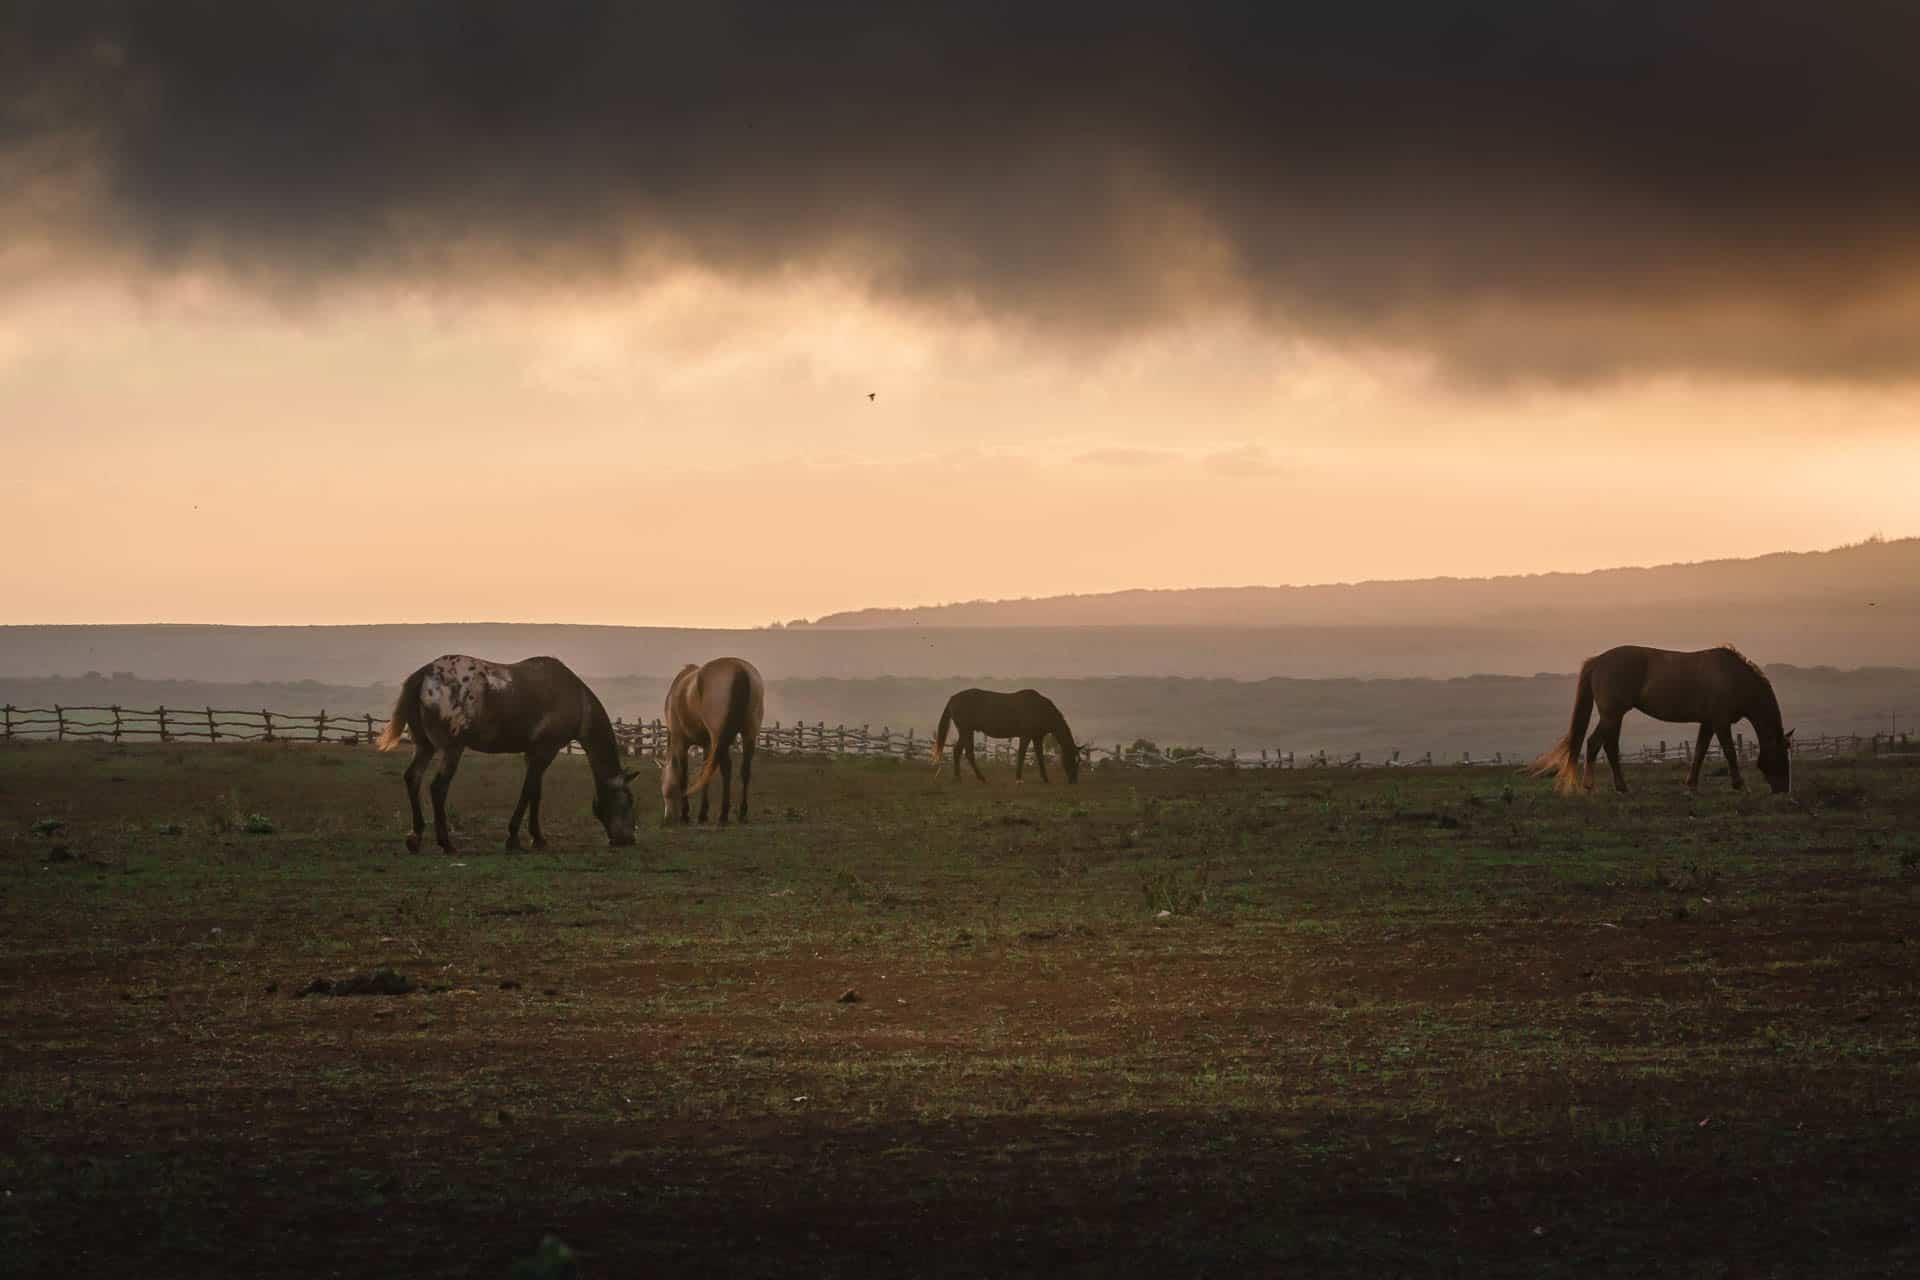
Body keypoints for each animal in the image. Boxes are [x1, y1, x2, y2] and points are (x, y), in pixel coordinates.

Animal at [372, 656, 637, 855]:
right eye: (628, 801)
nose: (629, 839)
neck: (575, 699)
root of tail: (425, 674)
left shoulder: (534, 754)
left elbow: (535, 793)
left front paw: (537, 838)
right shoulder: (545, 750)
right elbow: (528, 791)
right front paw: (515, 838)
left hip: (425, 746)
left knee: (412, 778)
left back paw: (415, 838)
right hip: (452, 749)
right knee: (438, 788)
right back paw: (446, 844)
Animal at [652, 656, 756, 825]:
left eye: (666, 790)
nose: (667, 819)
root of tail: (739, 669)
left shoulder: (681, 744)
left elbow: (684, 776)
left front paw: (686, 814)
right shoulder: (708, 745)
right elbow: (705, 774)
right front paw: (702, 813)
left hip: (720, 738)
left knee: (727, 768)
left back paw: (723, 815)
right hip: (748, 733)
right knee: (744, 771)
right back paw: (741, 813)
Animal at [929, 690, 1082, 782]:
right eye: (1072, 759)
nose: (1074, 780)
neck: (1041, 709)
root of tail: (952, 699)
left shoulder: (1037, 737)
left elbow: (1039, 756)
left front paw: (1045, 778)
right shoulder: (1026, 735)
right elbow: (1022, 754)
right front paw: (1018, 778)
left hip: (966, 731)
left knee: (958, 751)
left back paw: (959, 777)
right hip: (966, 730)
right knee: (966, 753)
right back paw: (979, 777)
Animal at [1528, 644, 1797, 794]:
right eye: (1781, 756)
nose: (1783, 790)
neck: (1733, 677)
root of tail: (1598, 661)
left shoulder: (1708, 723)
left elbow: (1699, 752)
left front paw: (1691, 785)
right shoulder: (1720, 723)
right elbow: (1730, 752)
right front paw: (1740, 785)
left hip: (1615, 716)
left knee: (1610, 747)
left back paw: (1622, 787)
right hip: (1611, 715)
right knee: (1595, 743)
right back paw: (1590, 786)